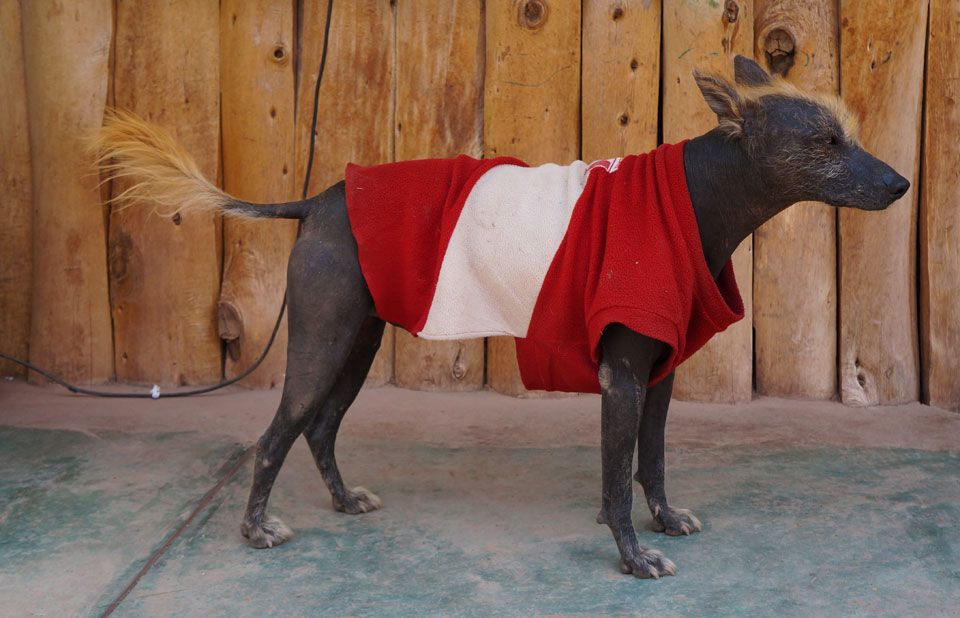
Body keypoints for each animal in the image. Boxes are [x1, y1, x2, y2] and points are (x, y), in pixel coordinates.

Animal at [95, 55, 908, 576]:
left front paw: (664, 520)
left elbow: (649, 463)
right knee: (274, 436)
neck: (691, 199)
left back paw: (343, 501)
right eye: (825, 142)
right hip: (322, 344)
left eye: (850, 135)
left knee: (320, 429)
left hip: (357, 343)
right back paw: (255, 529)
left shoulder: (659, 377)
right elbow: (616, 481)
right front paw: (631, 555)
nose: (901, 184)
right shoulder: (620, 378)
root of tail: (321, 198)